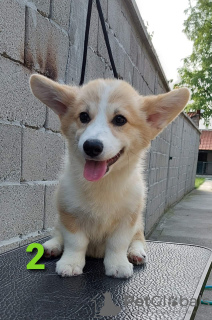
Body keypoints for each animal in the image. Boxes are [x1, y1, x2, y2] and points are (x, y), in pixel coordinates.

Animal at [29, 75, 189, 278]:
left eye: (120, 119)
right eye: (83, 116)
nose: (91, 146)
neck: (103, 183)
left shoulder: (128, 219)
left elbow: (118, 244)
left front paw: (118, 265)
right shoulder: (69, 214)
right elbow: (75, 242)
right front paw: (70, 263)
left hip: (139, 224)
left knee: (138, 240)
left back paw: (136, 253)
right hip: (60, 220)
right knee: (58, 233)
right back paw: (52, 246)